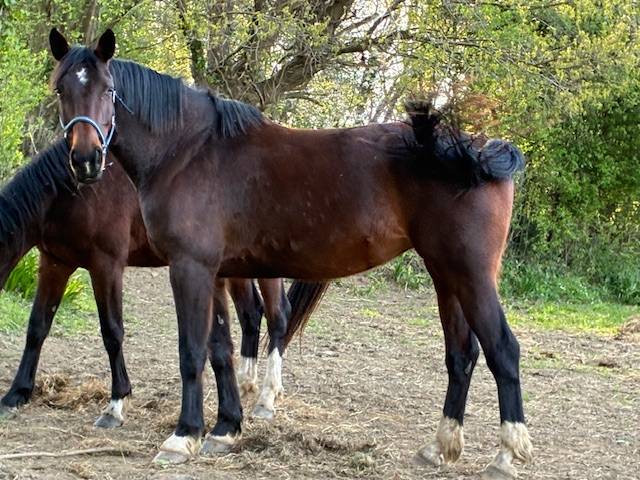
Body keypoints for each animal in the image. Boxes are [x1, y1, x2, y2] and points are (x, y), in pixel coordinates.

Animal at [0, 139, 324, 426]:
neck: (72, 193)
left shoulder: (106, 266)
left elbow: (112, 332)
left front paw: (116, 405)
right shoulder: (55, 263)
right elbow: (37, 327)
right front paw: (16, 394)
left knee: (278, 315)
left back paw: (267, 398)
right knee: (251, 313)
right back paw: (246, 381)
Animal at [47, 28, 531, 479]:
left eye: (107, 89)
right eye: (61, 88)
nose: (86, 160)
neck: (188, 151)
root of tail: (479, 150)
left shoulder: (189, 269)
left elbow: (192, 351)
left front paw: (183, 436)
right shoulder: (213, 272)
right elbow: (220, 349)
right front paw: (225, 429)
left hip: (470, 274)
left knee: (503, 351)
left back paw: (506, 456)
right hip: (446, 274)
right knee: (461, 355)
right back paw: (439, 446)